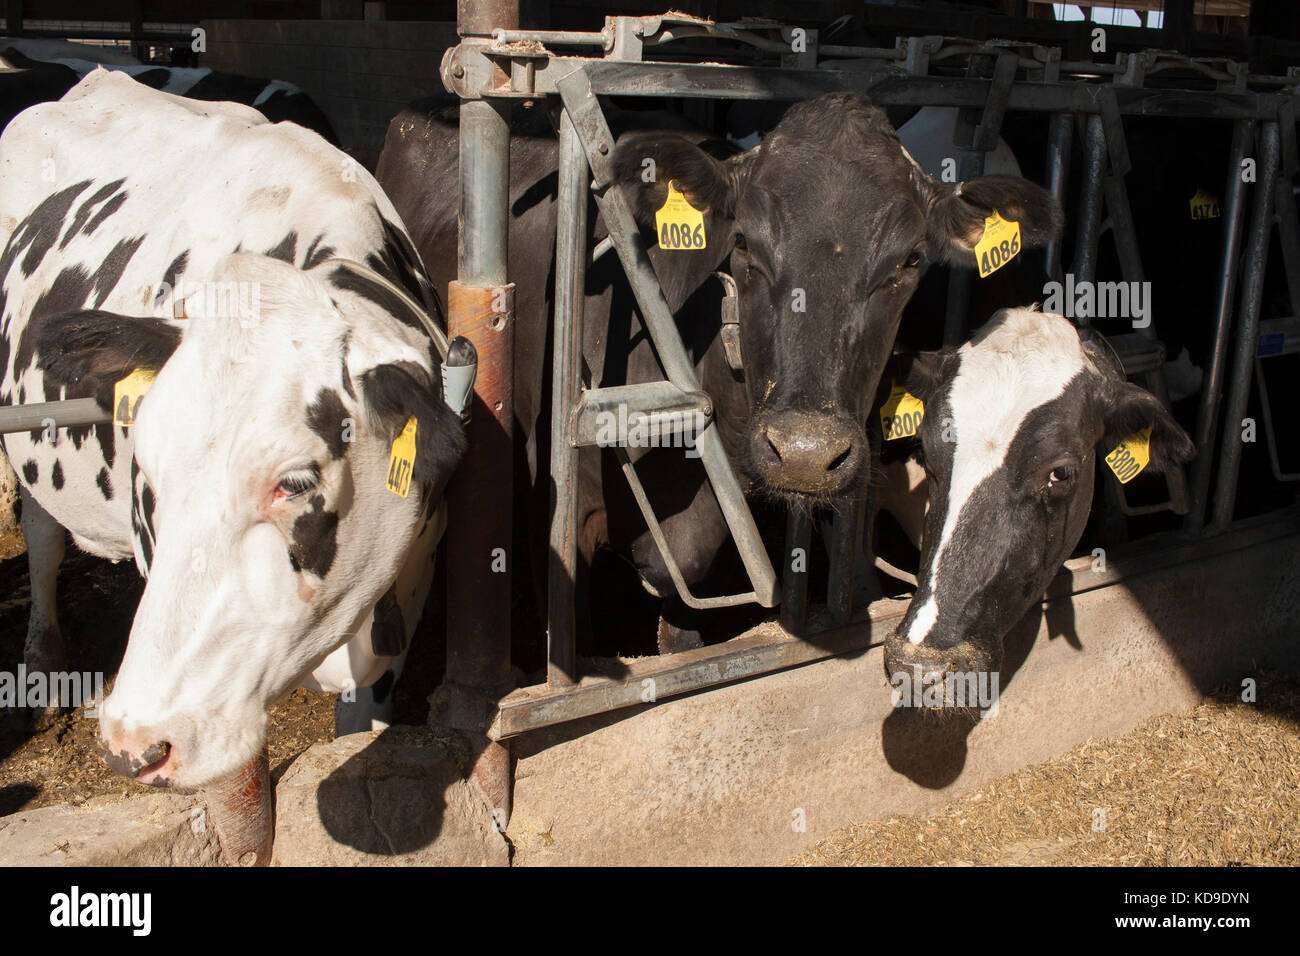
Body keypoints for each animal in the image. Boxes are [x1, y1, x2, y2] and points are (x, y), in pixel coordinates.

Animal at [0, 70, 468, 788]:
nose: (132, 741)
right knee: (43, 533)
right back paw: (43, 662)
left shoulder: (407, 581)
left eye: (294, 482)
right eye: (148, 473)